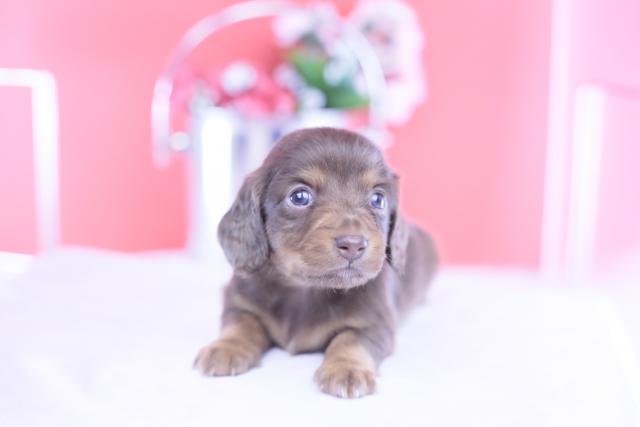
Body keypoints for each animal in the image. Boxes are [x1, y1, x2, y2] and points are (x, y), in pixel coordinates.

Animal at [194, 127, 437, 398]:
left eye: (378, 199)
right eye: (300, 196)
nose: (353, 244)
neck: (306, 288)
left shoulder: (376, 322)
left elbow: (350, 340)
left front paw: (347, 369)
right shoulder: (239, 301)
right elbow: (241, 323)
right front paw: (226, 347)